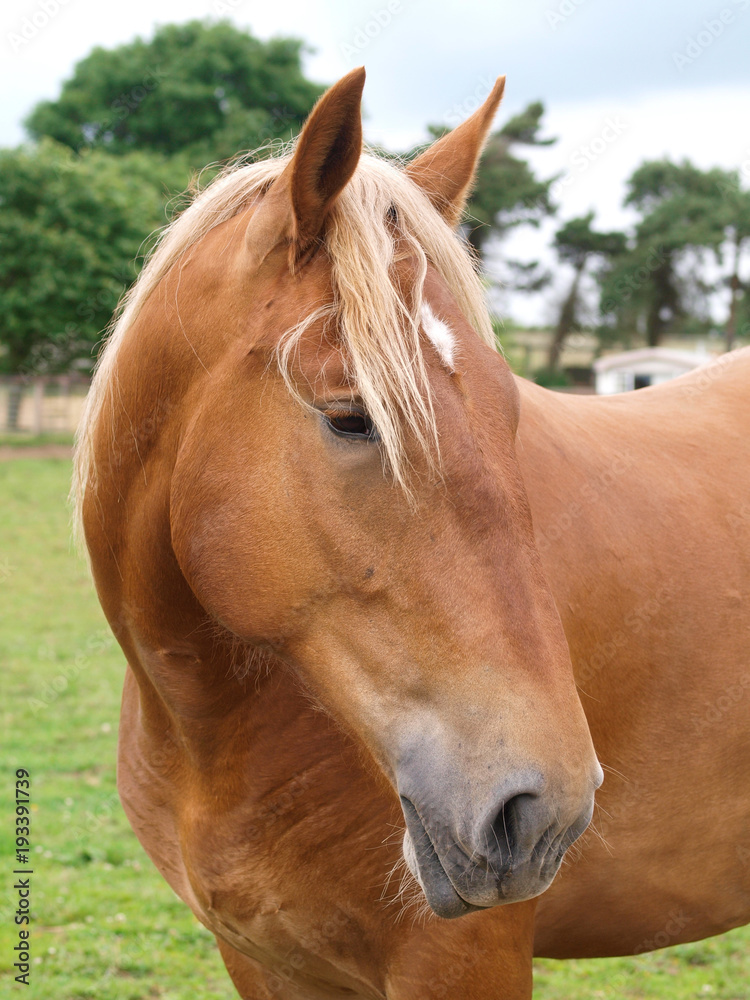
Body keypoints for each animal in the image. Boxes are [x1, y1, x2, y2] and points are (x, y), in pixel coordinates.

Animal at [74, 68, 750, 998]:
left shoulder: (461, 961)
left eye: (510, 411)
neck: (213, 736)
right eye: (351, 417)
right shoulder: (262, 961)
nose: (545, 809)